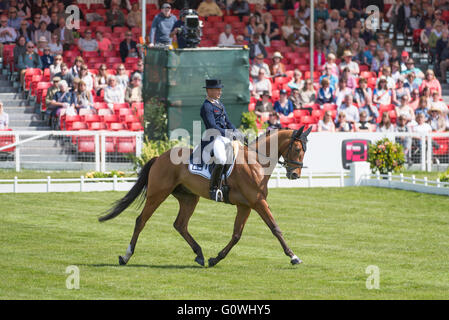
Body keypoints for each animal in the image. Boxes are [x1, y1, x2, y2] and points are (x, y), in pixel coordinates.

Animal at [98, 126, 310, 266]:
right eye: (297, 149)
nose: (295, 175)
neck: (255, 161)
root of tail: (160, 157)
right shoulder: (258, 202)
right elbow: (275, 228)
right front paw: (294, 257)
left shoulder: (246, 205)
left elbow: (236, 235)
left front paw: (215, 258)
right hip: (157, 194)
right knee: (141, 221)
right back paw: (126, 256)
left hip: (189, 198)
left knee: (180, 224)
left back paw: (199, 254)